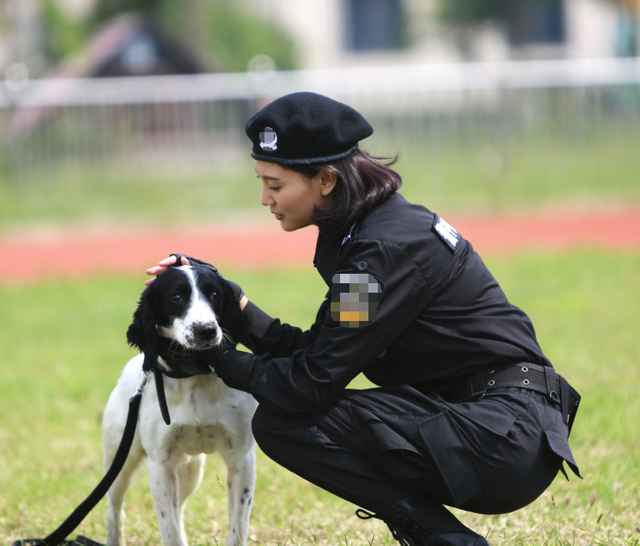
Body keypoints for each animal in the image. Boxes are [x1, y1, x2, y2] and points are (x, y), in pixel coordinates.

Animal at [101, 264, 256, 544]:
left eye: (215, 295)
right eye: (176, 297)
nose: (206, 330)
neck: (193, 379)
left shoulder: (242, 458)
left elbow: (238, 528)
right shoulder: (160, 465)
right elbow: (169, 530)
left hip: (190, 470)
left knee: (180, 508)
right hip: (120, 460)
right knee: (113, 509)